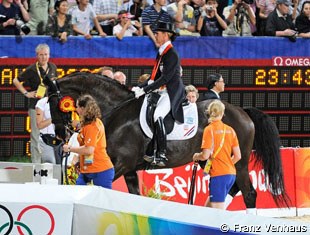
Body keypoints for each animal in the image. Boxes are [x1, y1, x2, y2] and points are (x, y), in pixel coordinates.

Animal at [46, 72, 290, 208]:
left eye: (52, 102)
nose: (59, 134)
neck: (117, 110)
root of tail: (243, 112)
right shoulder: (129, 168)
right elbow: (134, 197)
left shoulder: (121, 164)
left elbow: (97, 186)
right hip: (211, 160)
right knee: (233, 189)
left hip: (238, 161)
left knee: (249, 193)